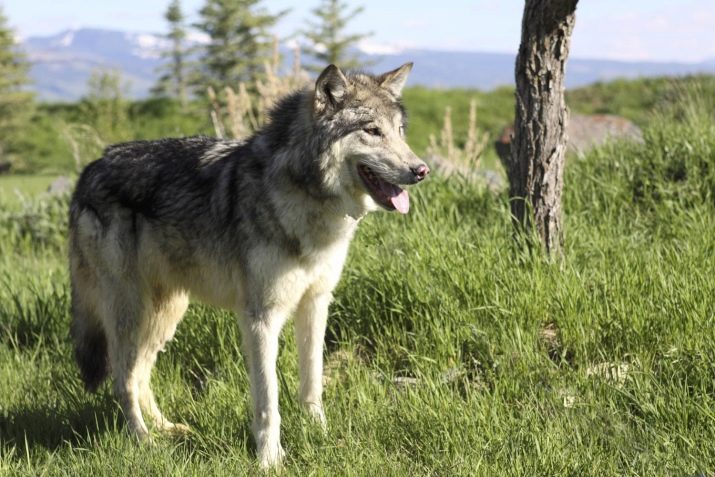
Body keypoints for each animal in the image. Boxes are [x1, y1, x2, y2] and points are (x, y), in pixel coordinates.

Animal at [67, 61, 428, 466]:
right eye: (372, 131)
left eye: (399, 131)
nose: (421, 170)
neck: (306, 199)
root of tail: (89, 169)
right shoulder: (261, 318)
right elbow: (269, 401)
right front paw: (270, 459)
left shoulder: (316, 304)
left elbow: (312, 384)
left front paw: (321, 435)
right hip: (130, 313)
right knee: (123, 380)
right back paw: (143, 441)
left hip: (166, 314)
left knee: (141, 374)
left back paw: (167, 430)